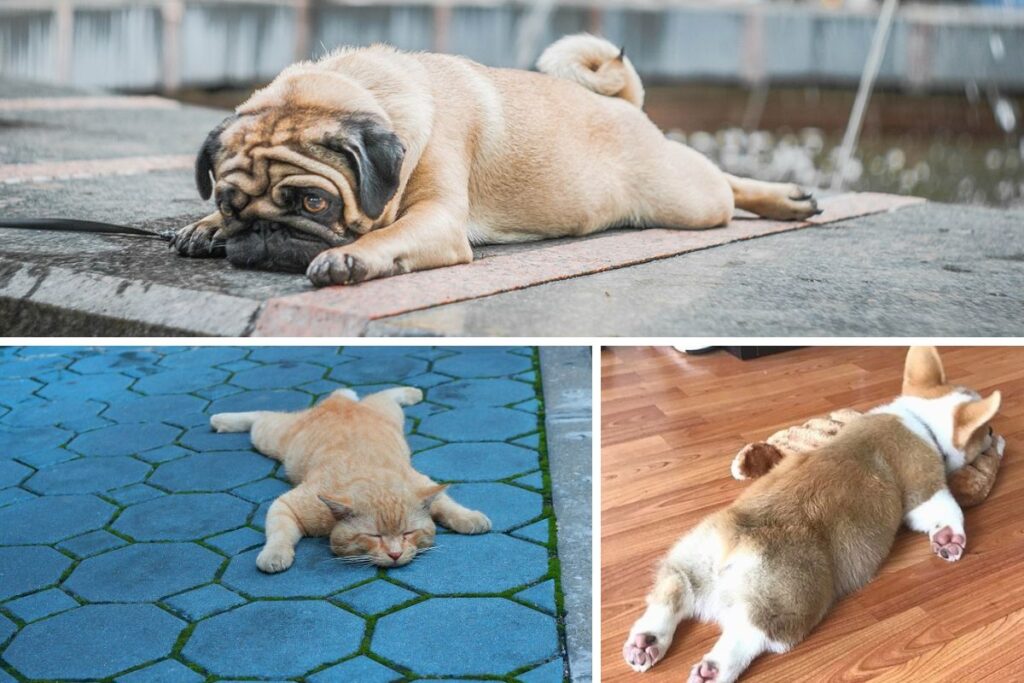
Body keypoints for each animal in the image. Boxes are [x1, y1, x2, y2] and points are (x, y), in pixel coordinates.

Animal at [174, 34, 815, 286]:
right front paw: (205, 228)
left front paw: (350, 257)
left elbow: (386, 234)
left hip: (686, 200)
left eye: (314, 202)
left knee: (722, 184)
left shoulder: (437, 220)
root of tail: (620, 104)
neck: (366, 88)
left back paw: (785, 199)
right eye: (231, 204)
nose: (262, 233)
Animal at [209, 385, 489, 573]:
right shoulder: (287, 504)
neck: (372, 477)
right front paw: (275, 554)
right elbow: (279, 533)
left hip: (388, 412)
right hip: (273, 438)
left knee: (380, 394)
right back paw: (221, 419)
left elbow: (446, 503)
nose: (395, 554)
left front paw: (468, 517)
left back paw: (409, 392)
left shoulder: (421, 482)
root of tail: (339, 403)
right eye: (374, 536)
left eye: (408, 533)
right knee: (262, 414)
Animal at [622, 348, 999, 683]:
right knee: (751, 631)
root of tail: (736, 541)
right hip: (792, 596)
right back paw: (714, 669)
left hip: (693, 557)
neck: (920, 418)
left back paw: (646, 642)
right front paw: (950, 541)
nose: (996, 435)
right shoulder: (925, 489)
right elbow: (947, 509)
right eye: (987, 429)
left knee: (673, 591)